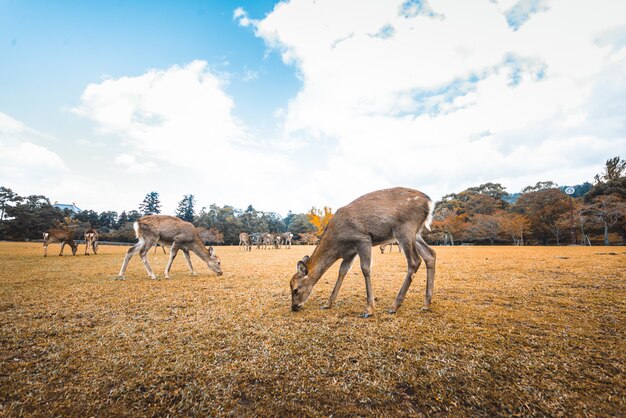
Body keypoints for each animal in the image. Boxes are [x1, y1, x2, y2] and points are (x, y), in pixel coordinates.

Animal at [288, 187, 432, 316]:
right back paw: (426, 304)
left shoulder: (362, 239)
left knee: (415, 261)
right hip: (416, 234)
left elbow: (365, 269)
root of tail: (429, 202)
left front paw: (369, 309)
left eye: (295, 289)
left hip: (405, 229)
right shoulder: (350, 252)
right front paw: (327, 304)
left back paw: (394, 306)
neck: (337, 244)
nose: (294, 307)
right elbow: (342, 271)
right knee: (430, 255)